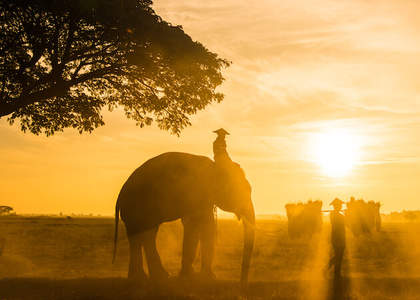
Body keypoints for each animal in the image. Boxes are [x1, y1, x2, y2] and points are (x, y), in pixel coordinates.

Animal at [113, 151, 254, 284]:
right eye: (243, 190)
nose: (242, 282)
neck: (215, 166)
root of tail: (120, 194)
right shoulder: (197, 194)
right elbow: (203, 224)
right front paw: (205, 278)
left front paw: (192, 276)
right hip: (137, 206)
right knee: (144, 235)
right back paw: (150, 277)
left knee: (144, 235)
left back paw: (148, 277)